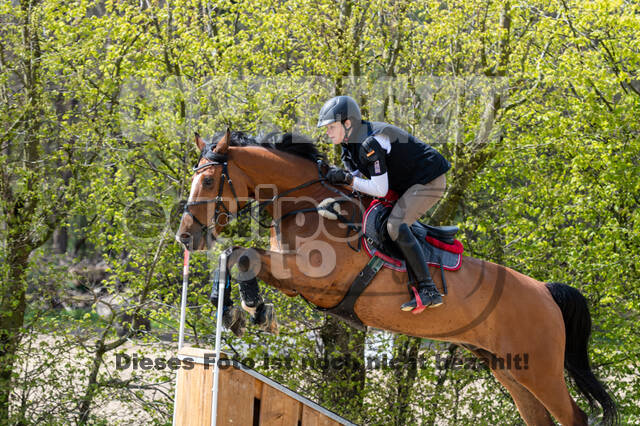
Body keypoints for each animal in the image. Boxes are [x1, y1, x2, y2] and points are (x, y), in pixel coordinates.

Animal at [176, 130, 620, 426]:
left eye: (210, 180)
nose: (186, 236)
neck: (309, 204)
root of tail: (544, 291)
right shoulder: (292, 275)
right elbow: (232, 256)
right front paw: (234, 310)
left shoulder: (313, 280)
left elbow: (243, 255)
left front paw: (253, 309)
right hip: (509, 369)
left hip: (540, 370)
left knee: (575, 417)